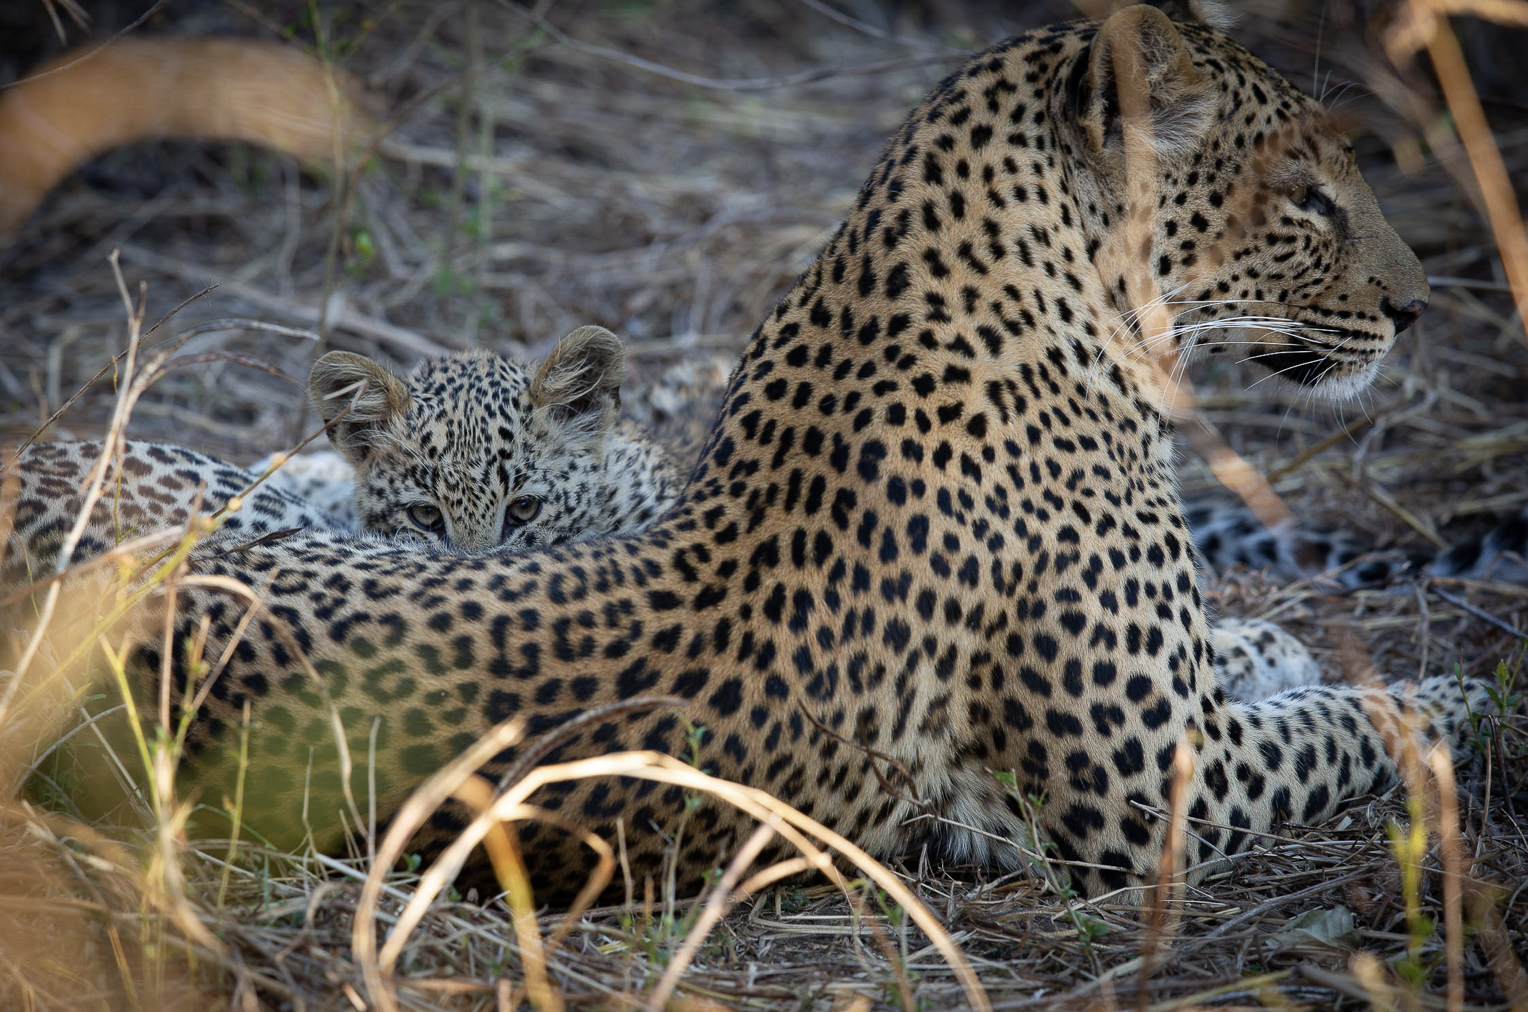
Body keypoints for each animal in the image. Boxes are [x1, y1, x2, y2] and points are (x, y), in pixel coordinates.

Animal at [7, 1, 1501, 903]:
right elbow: (1358, 724)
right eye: (1304, 195)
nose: (1421, 304)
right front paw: (1478, 695)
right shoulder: (1143, 799)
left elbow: (1285, 683)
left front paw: (1291, 647)